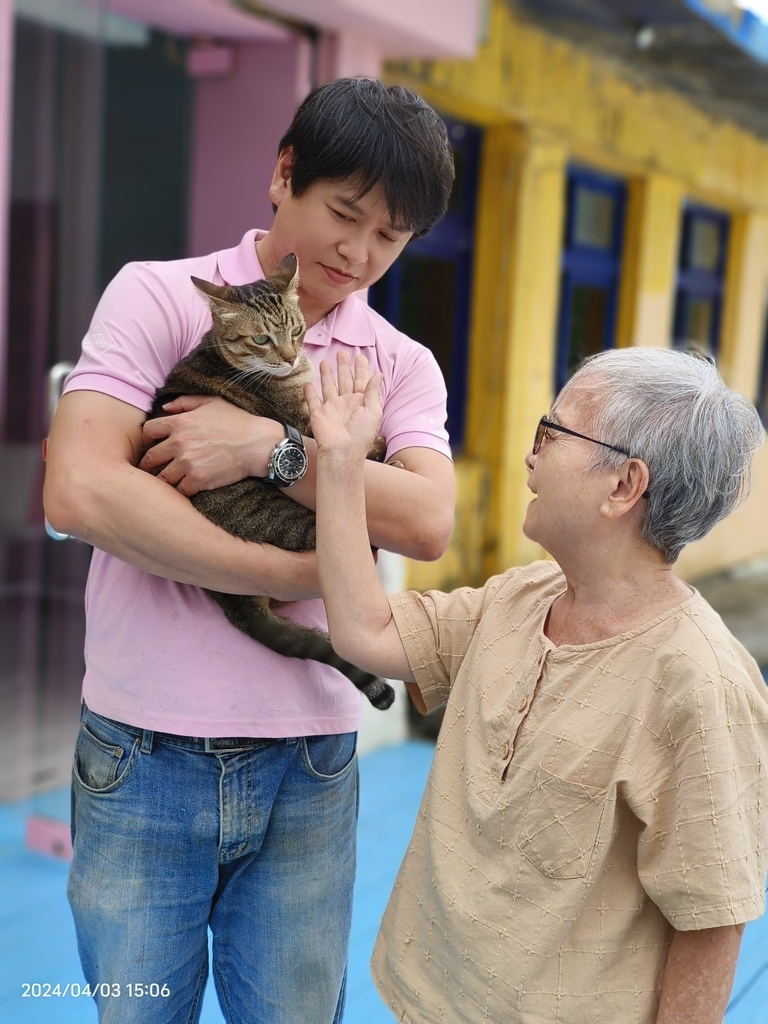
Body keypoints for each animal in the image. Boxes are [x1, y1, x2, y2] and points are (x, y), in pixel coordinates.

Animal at [145, 251, 397, 708]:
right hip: (311, 525)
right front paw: (377, 446)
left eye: (297, 330)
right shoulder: (305, 423)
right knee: (362, 540)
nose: (291, 356)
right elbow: (354, 442)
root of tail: (236, 603)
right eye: (261, 339)